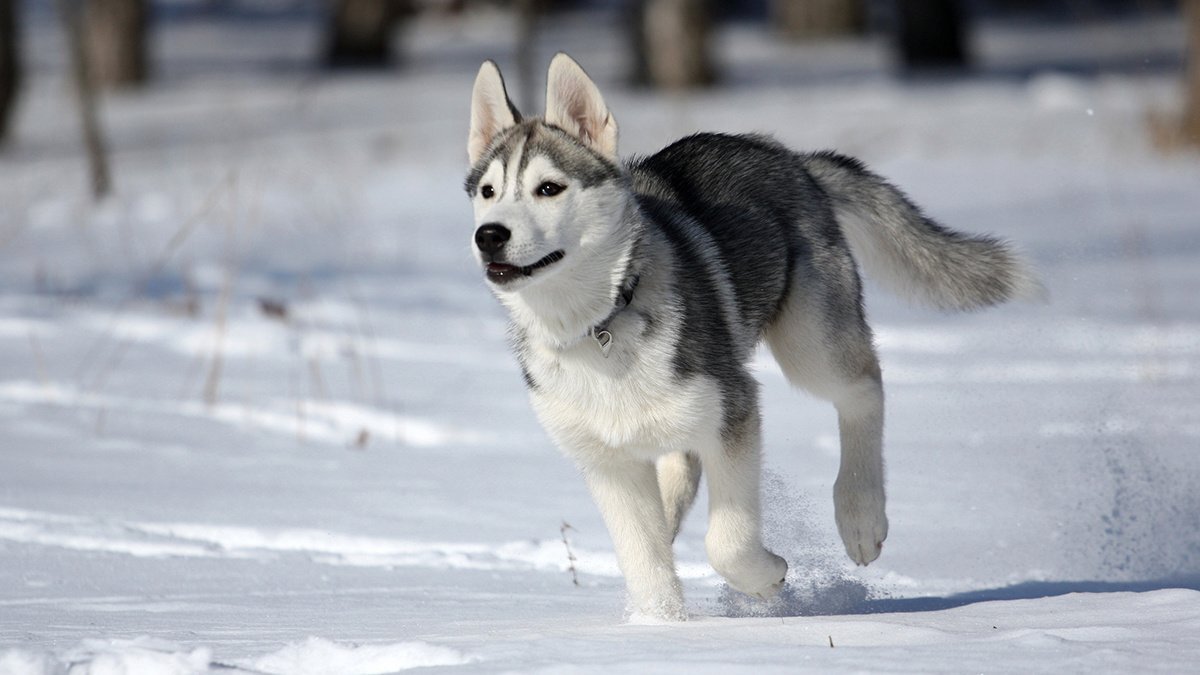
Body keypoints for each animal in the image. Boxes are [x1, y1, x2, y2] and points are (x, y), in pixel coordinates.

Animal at [463, 53, 1036, 619]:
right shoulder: (608, 463)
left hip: (809, 343)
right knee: (677, 479)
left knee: (864, 388)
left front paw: (767, 579)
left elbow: (727, 543)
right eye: (488, 192)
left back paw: (860, 515)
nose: (488, 235)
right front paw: (657, 625)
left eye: (549, 188)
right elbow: (645, 562)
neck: (598, 323)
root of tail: (784, 155)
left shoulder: (733, 413)